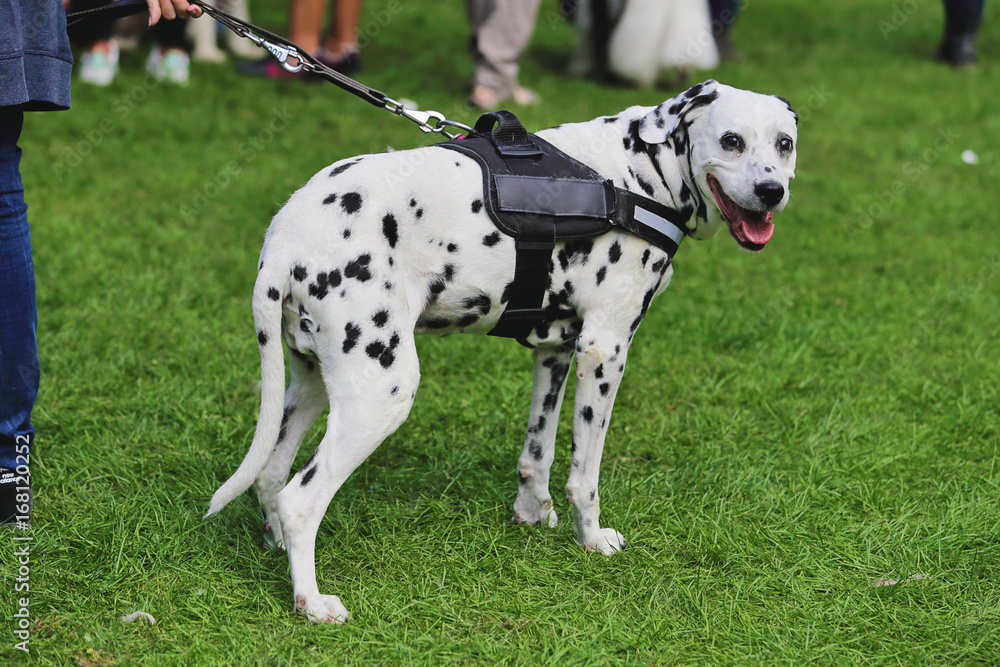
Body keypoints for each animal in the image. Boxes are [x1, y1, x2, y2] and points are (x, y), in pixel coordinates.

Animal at [207, 81, 800, 624]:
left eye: (785, 144)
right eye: (731, 141)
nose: (771, 190)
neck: (639, 172)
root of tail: (285, 238)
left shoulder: (556, 351)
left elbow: (537, 454)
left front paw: (533, 514)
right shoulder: (604, 349)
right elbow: (585, 476)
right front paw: (592, 540)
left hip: (311, 386)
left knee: (270, 476)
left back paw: (280, 552)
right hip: (382, 394)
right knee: (300, 500)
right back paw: (310, 601)